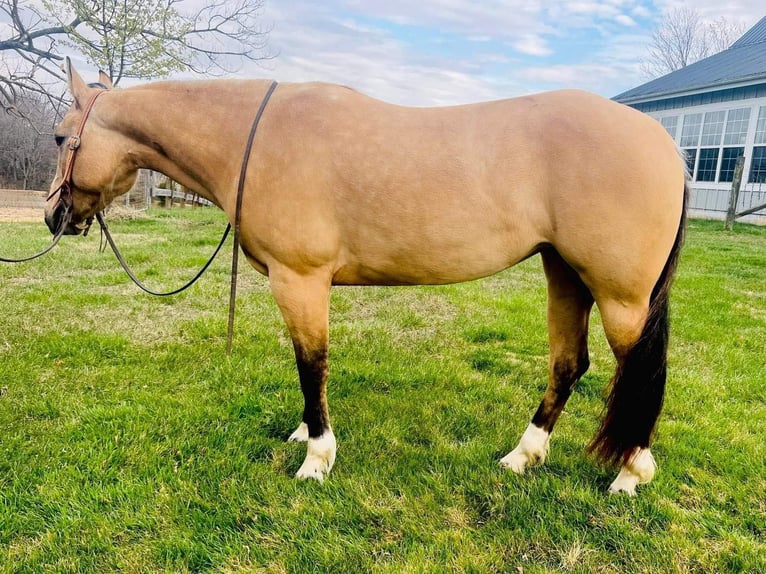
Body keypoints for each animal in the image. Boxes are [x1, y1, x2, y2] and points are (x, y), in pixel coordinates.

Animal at [45, 62, 688, 496]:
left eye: (58, 136)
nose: (54, 217)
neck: (257, 137)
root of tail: (663, 143)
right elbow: (311, 367)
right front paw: (305, 436)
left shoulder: (299, 279)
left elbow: (312, 364)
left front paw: (316, 459)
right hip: (565, 274)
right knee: (568, 365)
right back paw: (522, 456)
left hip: (621, 298)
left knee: (640, 375)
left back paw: (631, 473)